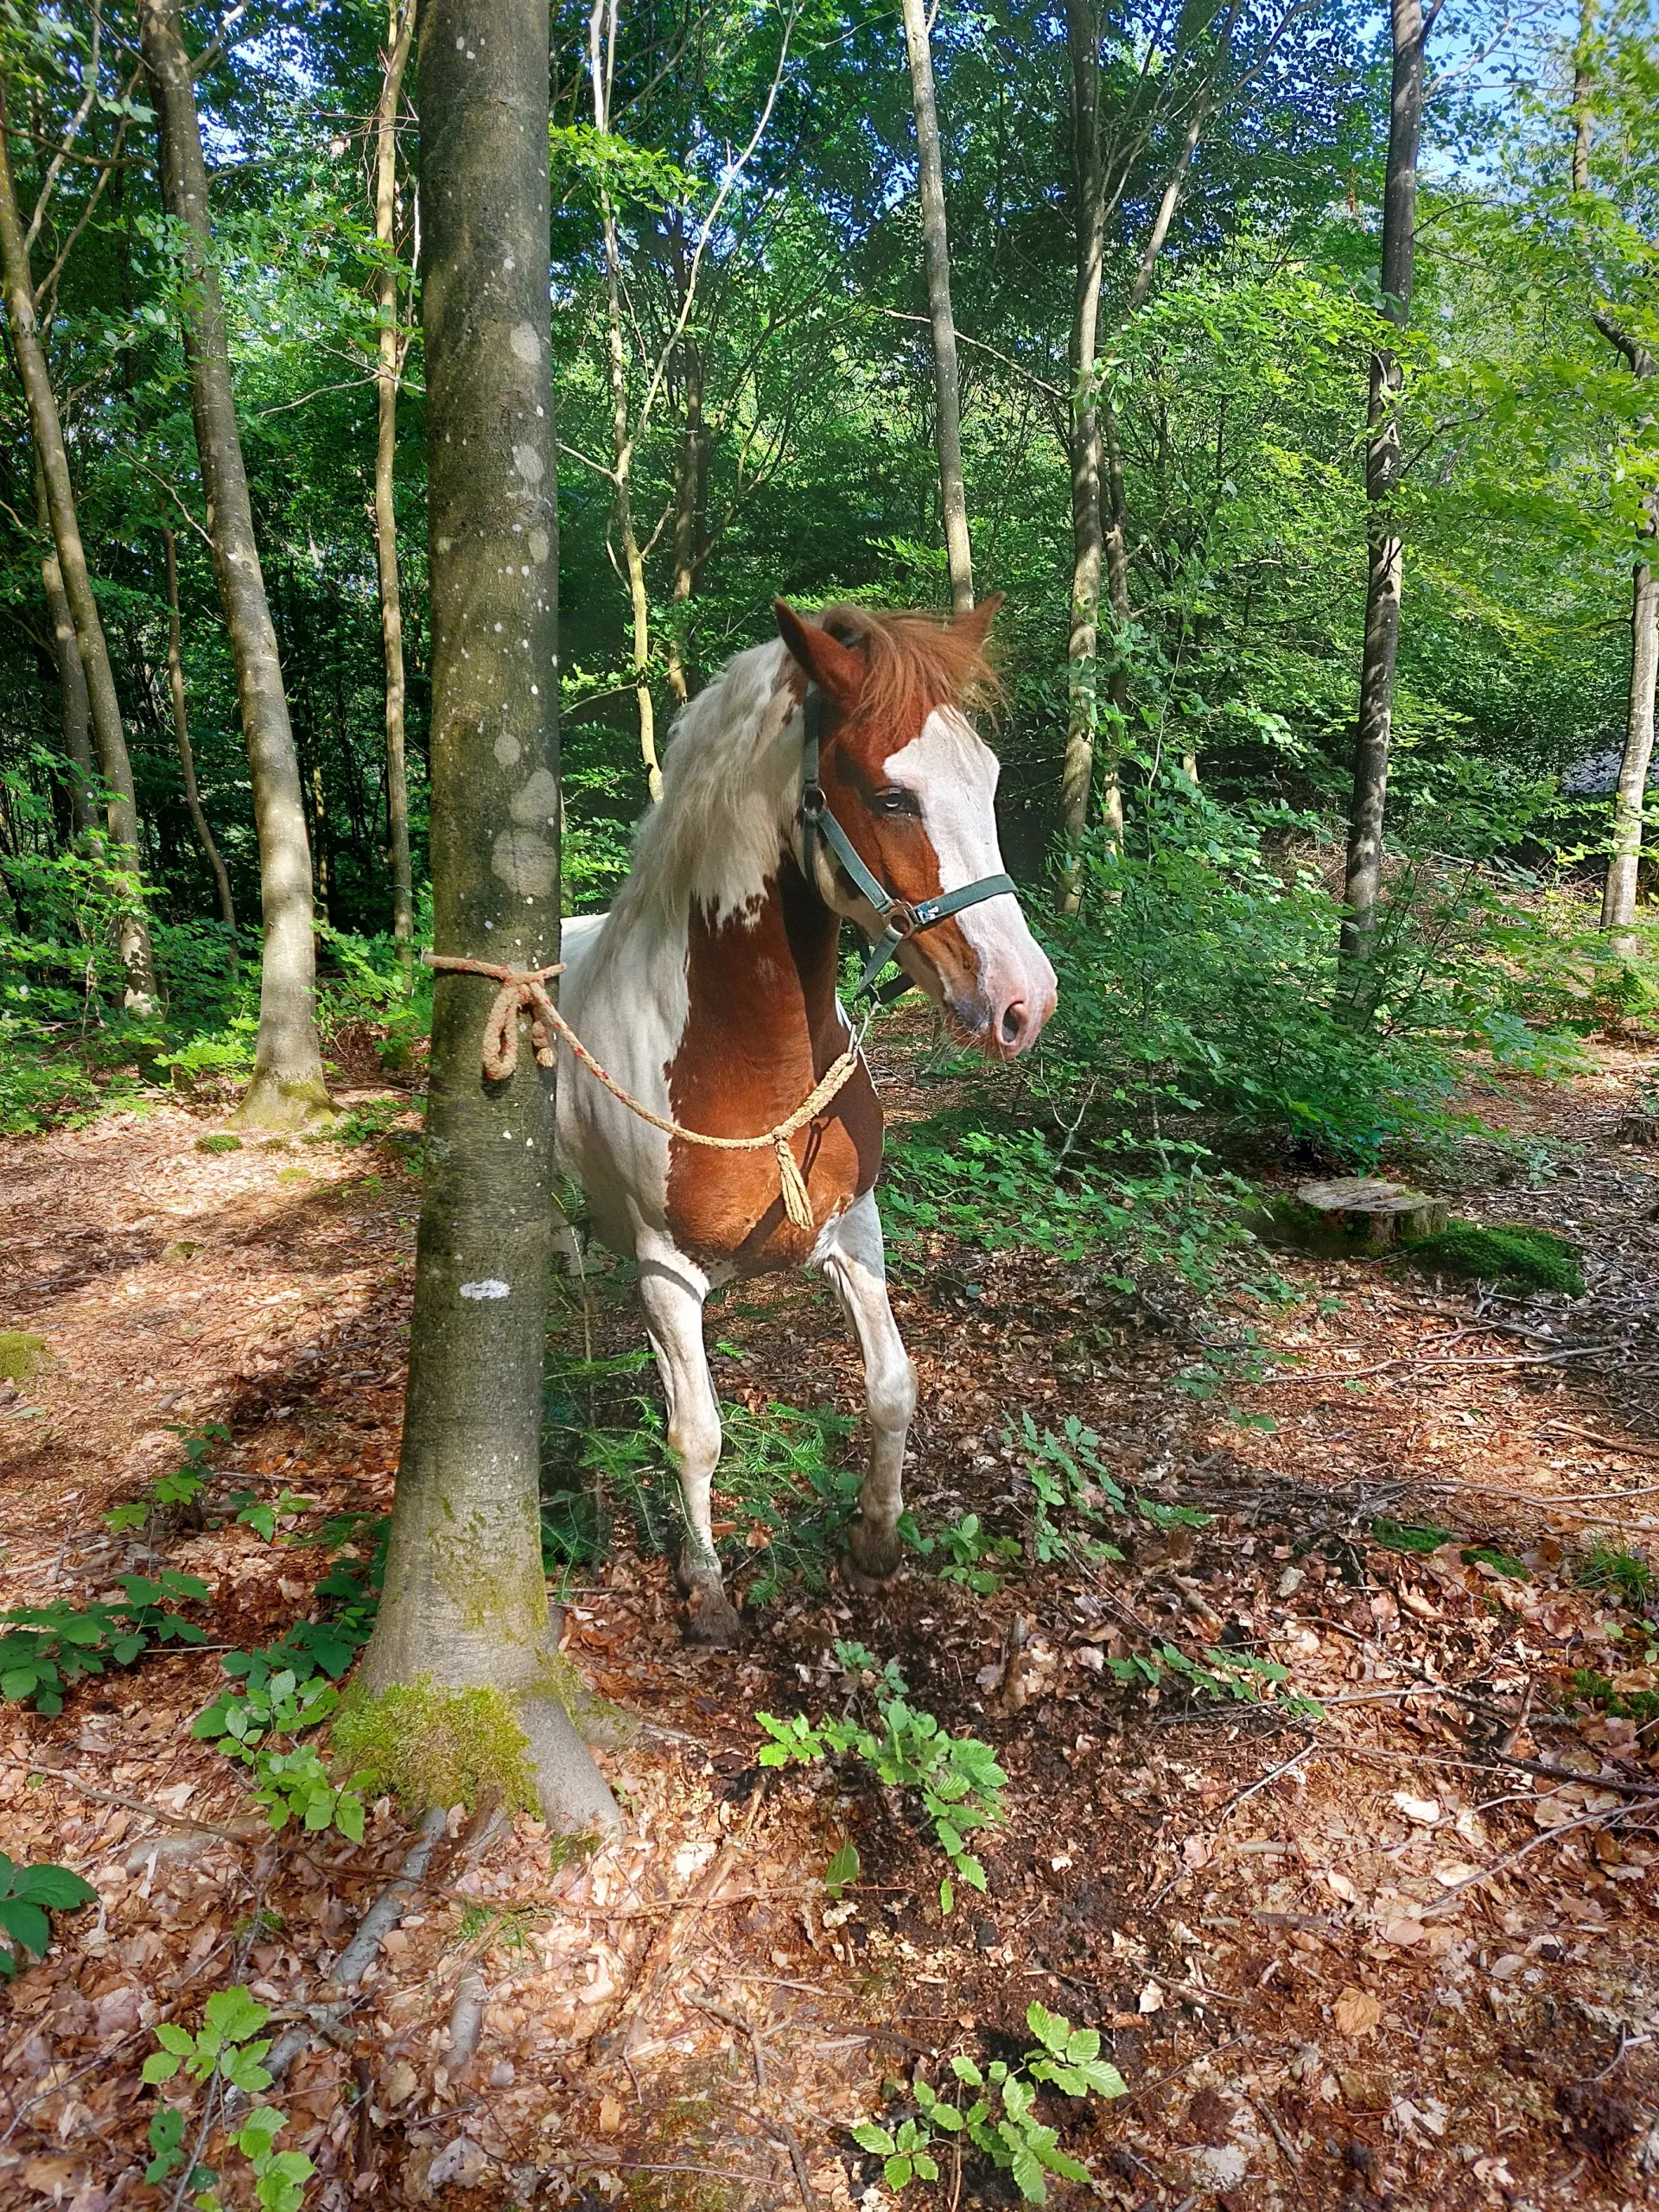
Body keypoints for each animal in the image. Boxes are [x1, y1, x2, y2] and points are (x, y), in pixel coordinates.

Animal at [555, 597, 1052, 1637]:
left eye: (988, 778)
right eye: (891, 797)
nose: (1026, 1003)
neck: (744, 1057)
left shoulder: (854, 1231)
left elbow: (893, 1387)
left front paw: (876, 1537)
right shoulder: (666, 1273)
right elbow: (696, 1436)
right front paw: (705, 1587)